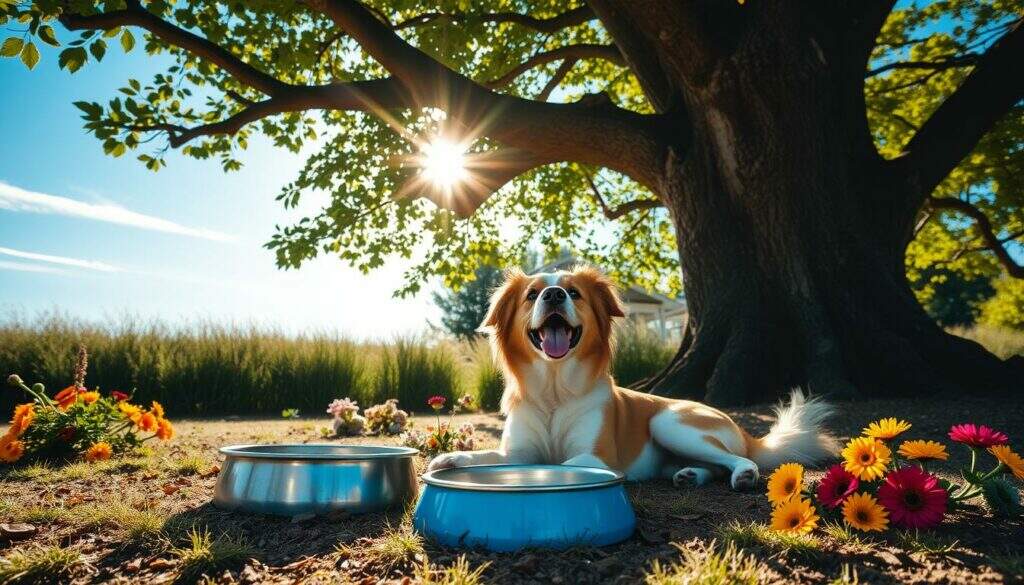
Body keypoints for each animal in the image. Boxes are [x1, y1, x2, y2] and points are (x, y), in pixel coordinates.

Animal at [428, 266, 835, 489]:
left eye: (574, 292)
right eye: (532, 295)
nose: (555, 295)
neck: (555, 391)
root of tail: (746, 433)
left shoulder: (596, 457)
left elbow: (551, 465)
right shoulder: (517, 450)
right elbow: (496, 458)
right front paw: (452, 459)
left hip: (669, 422)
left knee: (735, 460)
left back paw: (744, 474)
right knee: (713, 466)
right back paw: (690, 475)